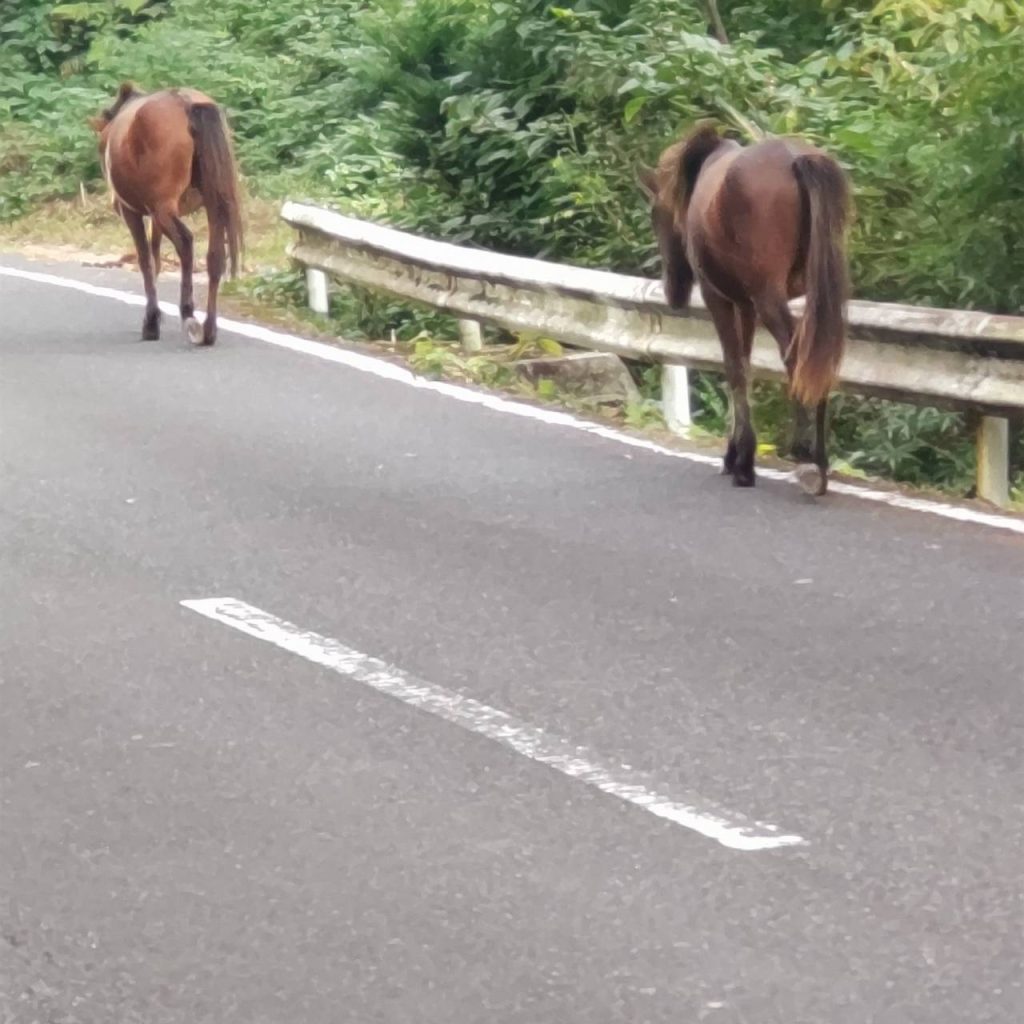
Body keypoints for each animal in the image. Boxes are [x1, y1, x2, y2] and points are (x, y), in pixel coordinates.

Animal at [90, 81, 243, 346]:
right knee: (215, 255)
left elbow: (146, 260)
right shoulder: (154, 214)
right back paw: (209, 329)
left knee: (186, 242)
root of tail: (187, 103)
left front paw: (151, 321)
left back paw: (188, 314)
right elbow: (156, 257)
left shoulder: (133, 212)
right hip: (211, 204)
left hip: (163, 208)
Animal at [638, 125, 847, 493]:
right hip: (815, 295)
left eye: (654, 215)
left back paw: (803, 453)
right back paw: (820, 463)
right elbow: (746, 367)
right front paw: (736, 452)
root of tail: (798, 160)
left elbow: (734, 368)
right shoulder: (745, 305)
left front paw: (742, 461)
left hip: (769, 298)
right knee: (819, 358)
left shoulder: (718, 299)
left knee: (795, 357)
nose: (673, 293)